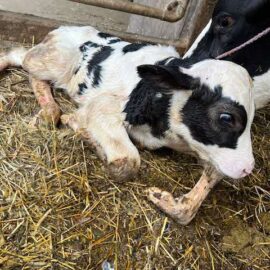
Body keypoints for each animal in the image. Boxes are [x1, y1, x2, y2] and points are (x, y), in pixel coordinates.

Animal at [0, 25, 255, 224]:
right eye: (226, 118)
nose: (248, 169)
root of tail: (63, 28)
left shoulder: (207, 148)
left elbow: (205, 186)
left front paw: (164, 200)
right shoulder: (103, 106)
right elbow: (127, 163)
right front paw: (81, 128)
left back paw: (49, 112)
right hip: (55, 60)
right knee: (20, 56)